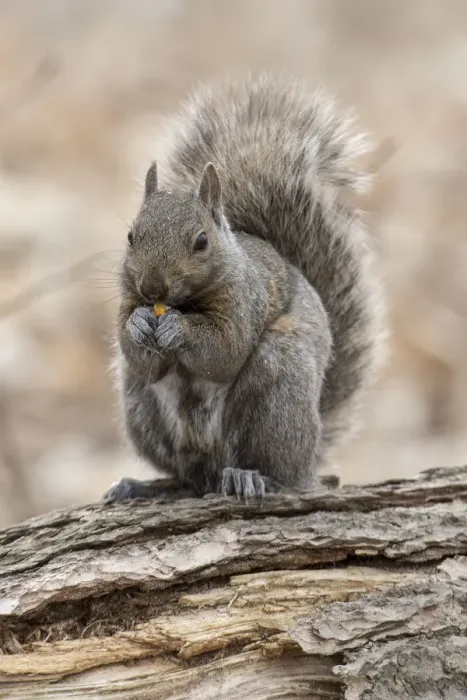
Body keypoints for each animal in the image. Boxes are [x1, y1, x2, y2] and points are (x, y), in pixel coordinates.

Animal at [104, 73, 385, 503]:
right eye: (132, 236)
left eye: (201, 241)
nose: (152, 288)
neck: (183, 302)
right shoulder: (127, 302)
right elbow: (141, 359)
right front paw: (137, 324)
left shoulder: (244, 300)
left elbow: (225, 351)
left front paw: (179, 329)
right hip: (140, 406)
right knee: (186, 476)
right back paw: (143, 486)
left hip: (279, 392)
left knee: (280, 471)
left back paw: (254, 478)